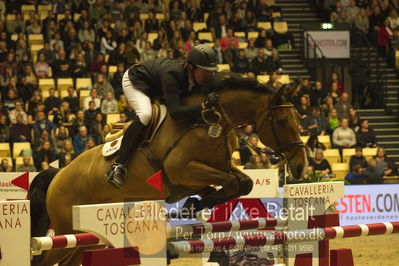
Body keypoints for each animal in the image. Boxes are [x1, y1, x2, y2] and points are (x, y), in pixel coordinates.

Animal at [29, 74, 308, 264]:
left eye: (298, 118)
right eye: (282, 121)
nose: (300, 166)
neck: (210, 121)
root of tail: (58, 174)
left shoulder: (220, 167)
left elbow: (242, 183)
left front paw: (194, 204)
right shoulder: (182, 170)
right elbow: (230, 182)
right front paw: (190, 205)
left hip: (87, 240)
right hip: (68, 232)